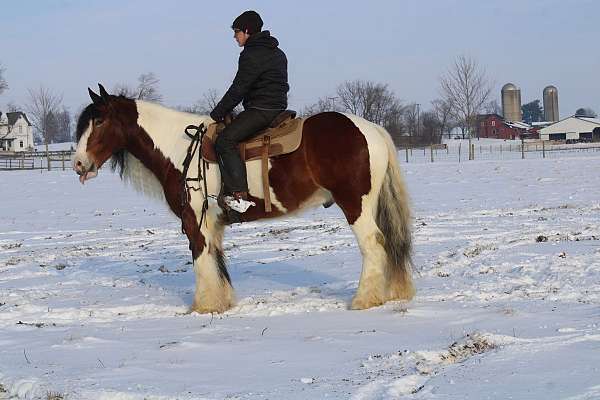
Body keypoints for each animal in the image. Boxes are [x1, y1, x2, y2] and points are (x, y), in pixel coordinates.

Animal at [72, 86, 414, 314]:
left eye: (99, 121)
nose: (78, 164)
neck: (181, 150)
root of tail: (371, 129)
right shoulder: (213, 223)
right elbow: (216, 259)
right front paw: (221, 303)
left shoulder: (194, 221)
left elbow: (201, 259)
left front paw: (203, 307)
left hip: (355, 205)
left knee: (373, 244)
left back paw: (364, 300)